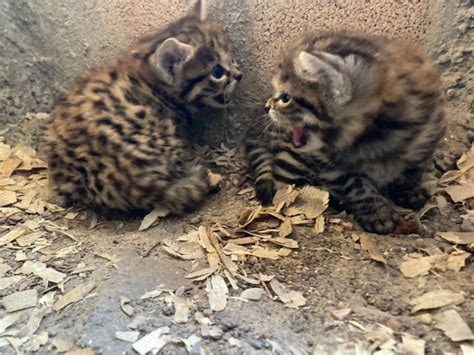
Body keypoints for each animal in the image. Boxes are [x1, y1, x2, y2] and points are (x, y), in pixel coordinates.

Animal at [246, 32, 446, 235]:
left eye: (286, 98)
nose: (266, 107)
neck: (369, 138)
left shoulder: (428, 133)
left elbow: (412, 169)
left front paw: (408, 190)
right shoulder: (328, 163)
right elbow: (356, 186)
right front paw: (377, 213)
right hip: (291, 159)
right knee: (283, 186)